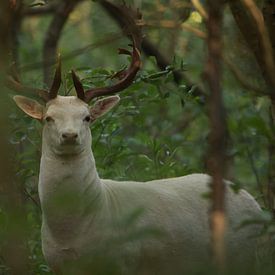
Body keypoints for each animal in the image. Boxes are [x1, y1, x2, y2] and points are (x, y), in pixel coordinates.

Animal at [9, 2, 268, 275]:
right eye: (48, 118)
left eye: (87, 117)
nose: (70, 135)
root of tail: (254, 204)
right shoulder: (56, 264)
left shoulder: (125, 260)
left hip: (243, 256)